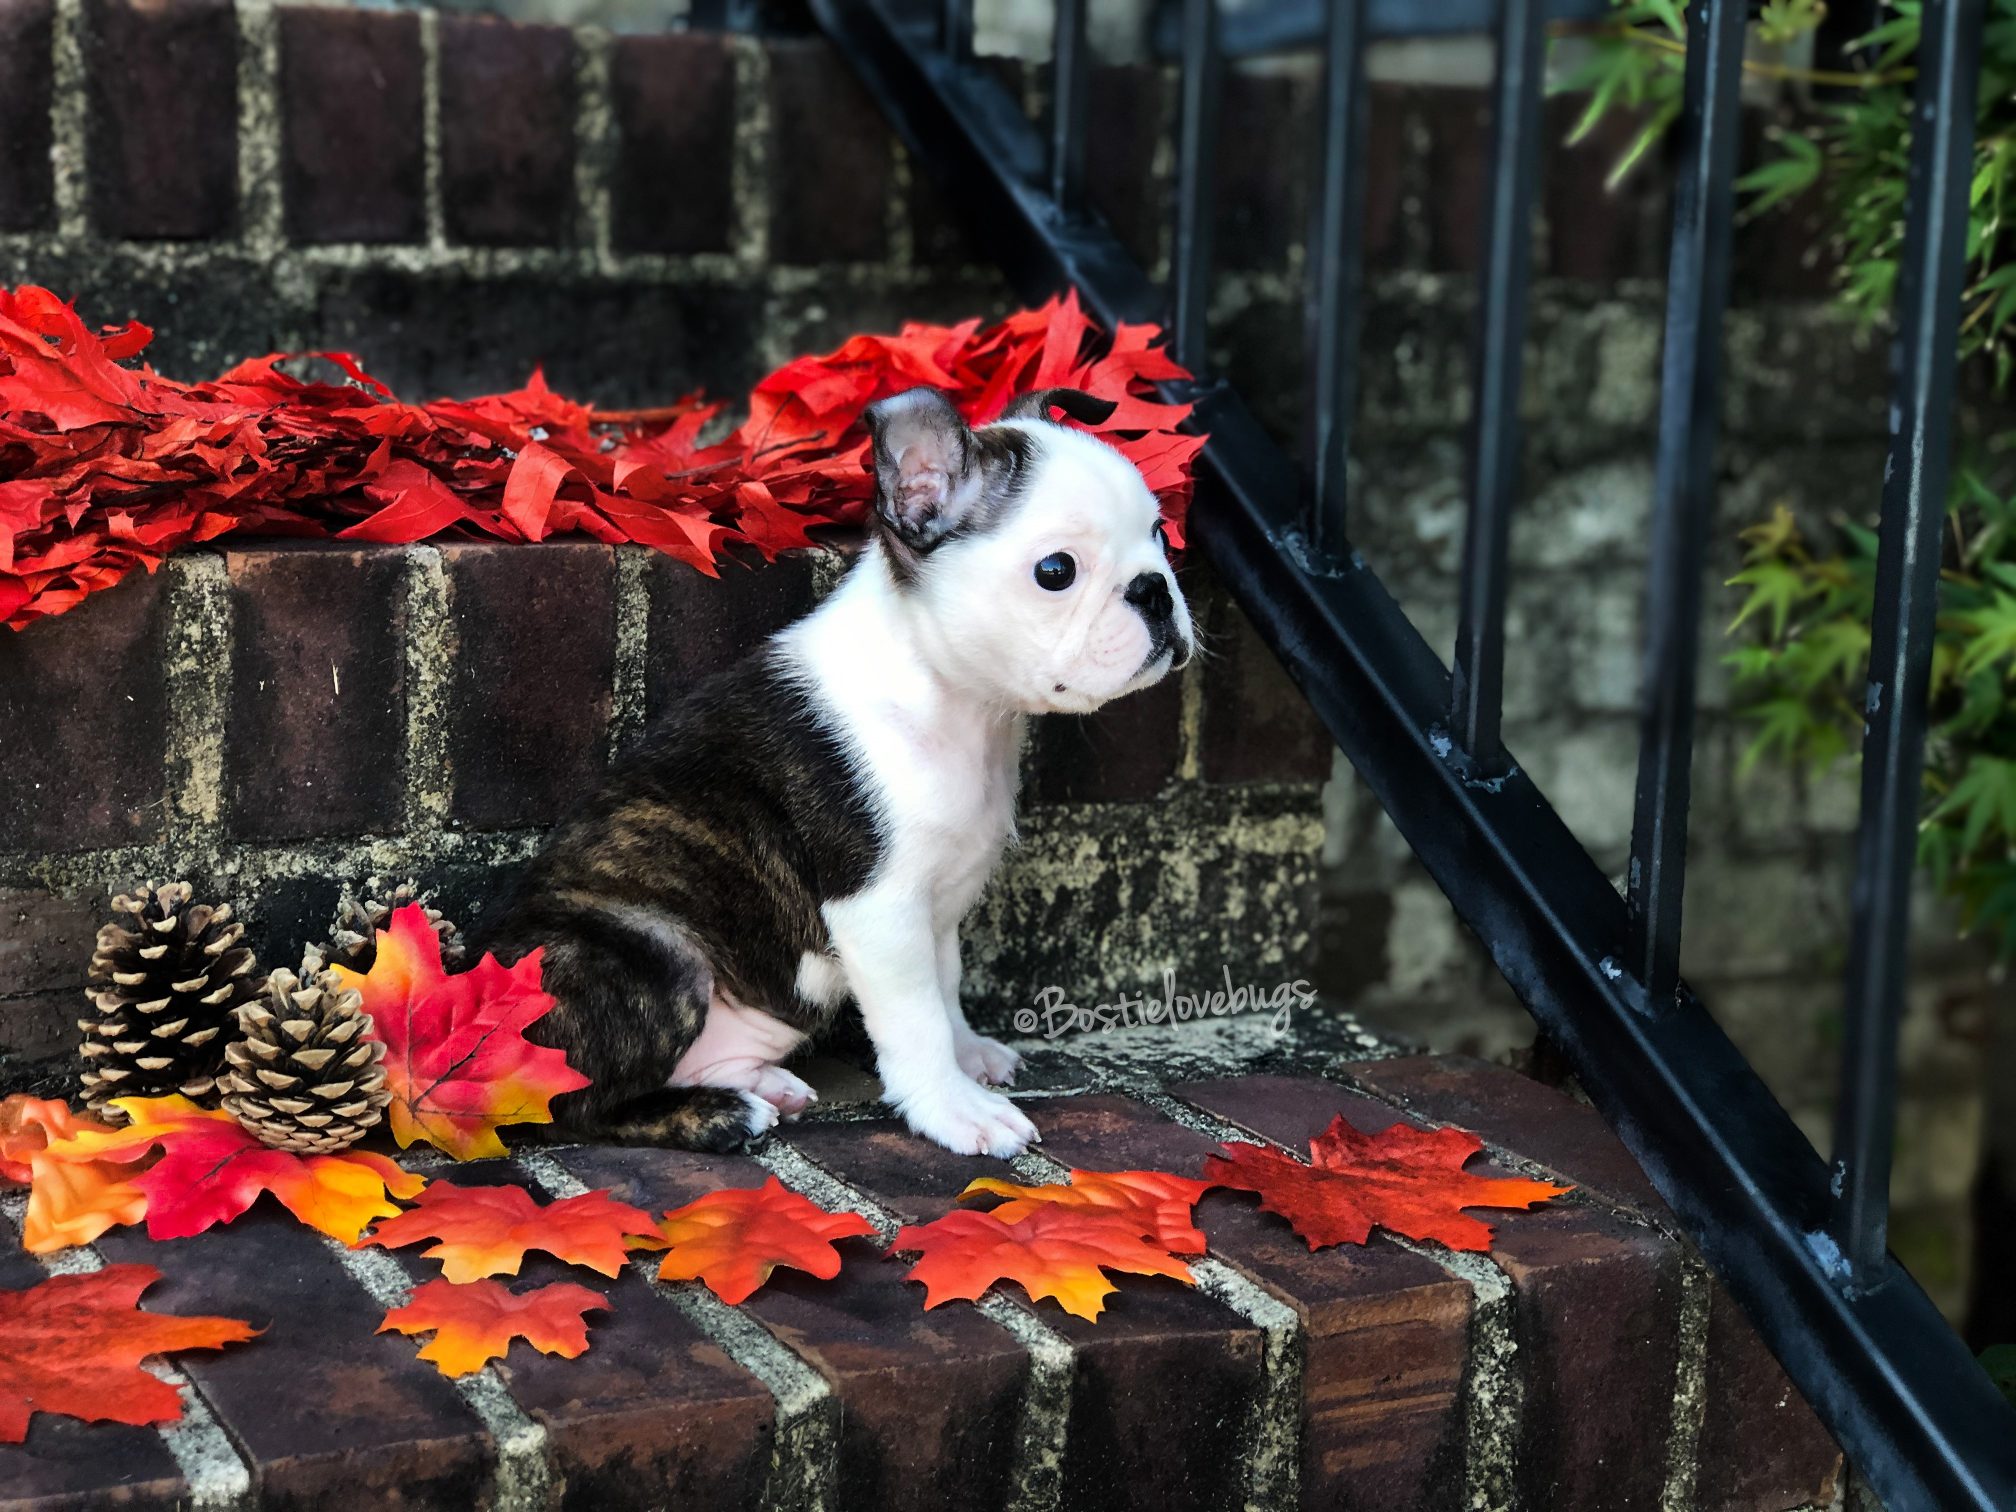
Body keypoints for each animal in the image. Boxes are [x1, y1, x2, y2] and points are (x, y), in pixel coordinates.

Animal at [482, 385, 1193, 1158]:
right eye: (1056, 571)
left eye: (1160, 536)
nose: (1156, 590)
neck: (956, 699)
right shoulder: (878, 906)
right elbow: (916, 1018)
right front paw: (954, 1107)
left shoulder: (938, 905)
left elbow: (946, 986)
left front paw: (968, 1052)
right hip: (655, 953)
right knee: (575, 1104)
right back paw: (719, 1113)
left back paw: (760, 1084)